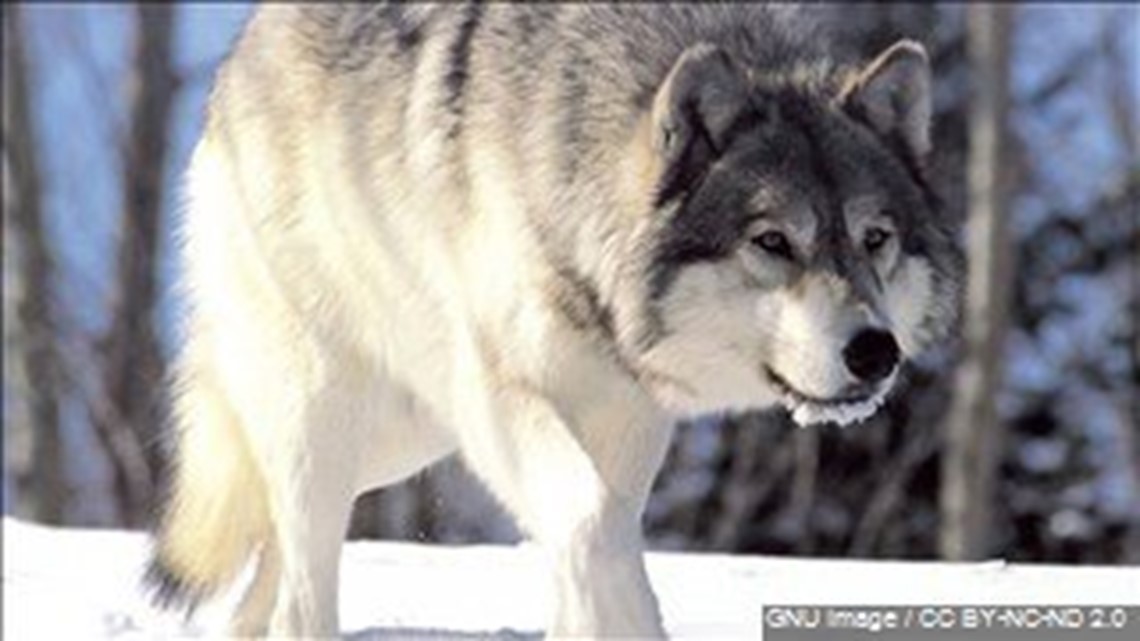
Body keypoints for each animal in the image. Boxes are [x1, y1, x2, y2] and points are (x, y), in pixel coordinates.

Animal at [146, 3, 962, 638]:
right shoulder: (501, 396)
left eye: (874, 239)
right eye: (773, 242)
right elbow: (592, 524)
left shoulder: (629, 415)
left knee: (268, 567)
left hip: (403, 437)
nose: (876, 353)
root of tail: (244, 49)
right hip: (334, 416)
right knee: (300, 585)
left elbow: (602, 536)